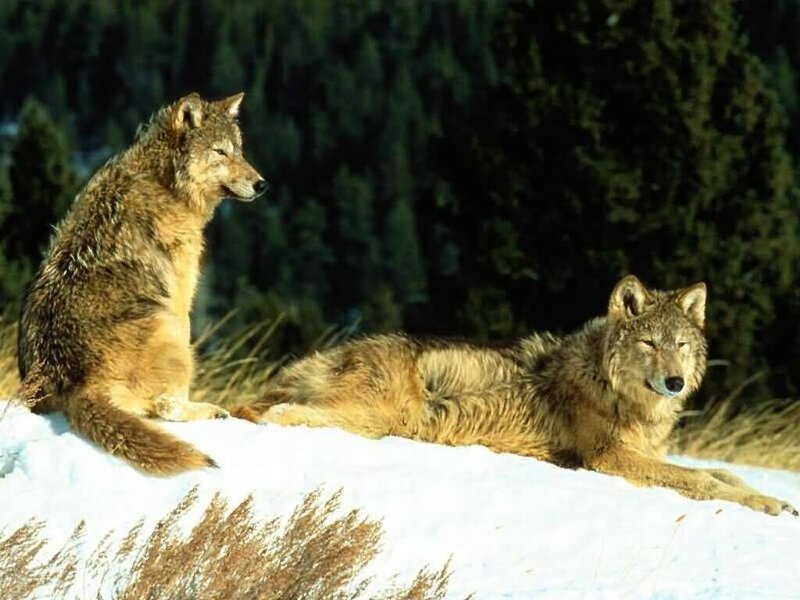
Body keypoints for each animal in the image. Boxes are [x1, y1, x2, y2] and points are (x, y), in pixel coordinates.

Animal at [17, 92, 267, 474]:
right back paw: (212, 411)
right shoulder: (180, 297)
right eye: (220, 152)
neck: (164, 182)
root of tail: (77, 385)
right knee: (165, 408)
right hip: (170, 330)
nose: (261, 184)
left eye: (238, 151)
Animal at [232, 275, 796, 516]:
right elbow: (700, 480)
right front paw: (762, 505)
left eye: (680, 345)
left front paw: (771, 498)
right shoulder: (609, 458)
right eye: (649, 344)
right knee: (277, 413)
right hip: (387, 418)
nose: (675, 382)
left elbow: (723, 473)